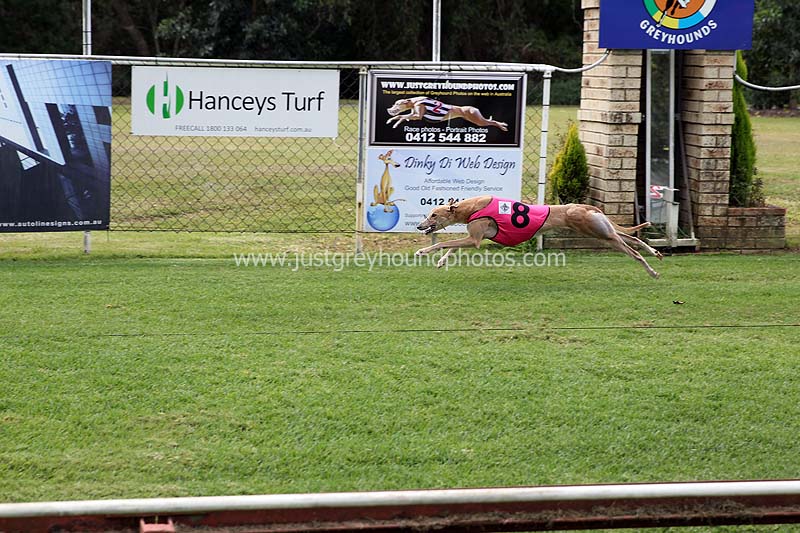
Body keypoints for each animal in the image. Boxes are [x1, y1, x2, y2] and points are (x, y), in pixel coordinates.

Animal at [415, 196, 663, 278]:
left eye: (433, 214)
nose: (419, 226)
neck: (472, 207)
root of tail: (586, 207)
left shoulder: (475, 238)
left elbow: (447, 243)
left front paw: (423, 251)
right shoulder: (474, 236)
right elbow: (451, 246)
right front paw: (441, 262)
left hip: (601, 234)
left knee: (633, 252)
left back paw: (652, 270)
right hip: (605, 232)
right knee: (634, 239)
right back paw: (655, 252)